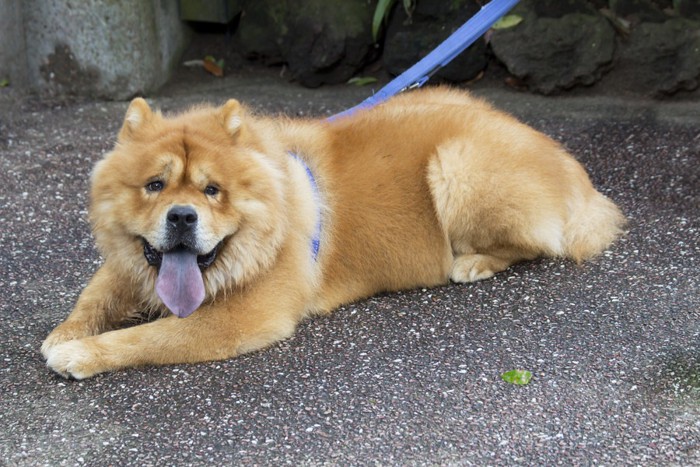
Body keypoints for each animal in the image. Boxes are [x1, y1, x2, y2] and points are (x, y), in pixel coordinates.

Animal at [41, 88, 628, 380]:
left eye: (212, 190)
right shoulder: (130, 266)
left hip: (458, 164)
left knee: (533, 243)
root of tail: (568, 164)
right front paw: (67, 333)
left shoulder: (242, 318)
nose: (182, 216)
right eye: (154, 185)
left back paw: (473, 262)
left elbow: (147, 338)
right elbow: (97, 292)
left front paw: (81, 355)